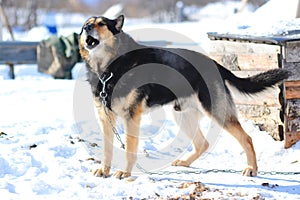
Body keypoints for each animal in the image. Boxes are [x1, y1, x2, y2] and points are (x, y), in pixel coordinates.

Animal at [78, 14, 290, 179]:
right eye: (85, 25)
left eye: (101, 24)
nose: (87, 28)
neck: (109, 68)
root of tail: (214, 63)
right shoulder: (105, 117)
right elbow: (107, 149)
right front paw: (104, 170)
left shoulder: (132, 117)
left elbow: (130, 149)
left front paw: (125, 173)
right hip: (182, 115)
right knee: (202, 143)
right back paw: (185, 163)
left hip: (215, 112)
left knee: (246, 138)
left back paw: (251, 168)